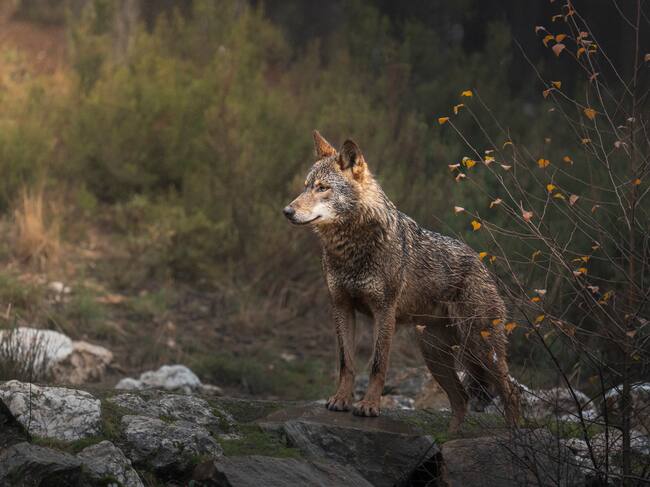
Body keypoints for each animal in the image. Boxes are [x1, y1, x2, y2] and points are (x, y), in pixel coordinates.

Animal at [282, 131, 519, 431]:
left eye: (322, 188)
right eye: (305, 187)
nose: (287, 211)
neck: (350, 247)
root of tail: (482, 263)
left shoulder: (384, 311)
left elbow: (377, 365)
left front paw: (369, 406)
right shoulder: (341, 307)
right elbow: (346, 362)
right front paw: (341, 400)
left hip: (481, 347)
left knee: (510, 391)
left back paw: (516, 436)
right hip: (435, 354)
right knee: (461, 398)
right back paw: (451, 438)